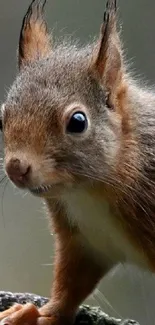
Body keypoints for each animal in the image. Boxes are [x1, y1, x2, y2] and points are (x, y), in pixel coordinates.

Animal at [0, 0, 155, 322]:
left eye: (78, 121)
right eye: (1, 118)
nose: (16, 168)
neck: (88, 192)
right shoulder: (84, 241)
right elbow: (72, 283)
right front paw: (37, 314)